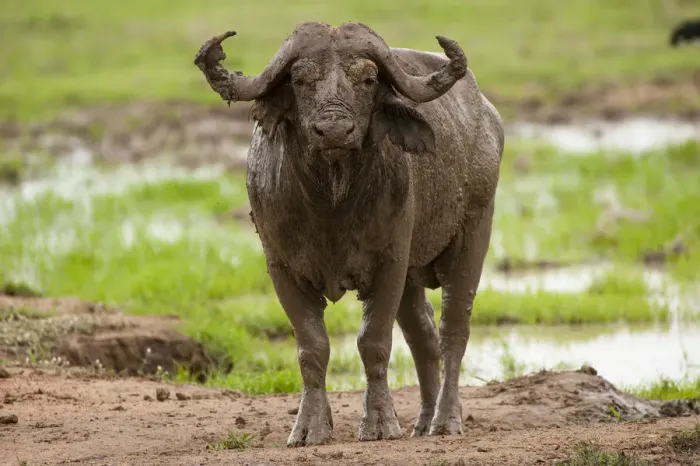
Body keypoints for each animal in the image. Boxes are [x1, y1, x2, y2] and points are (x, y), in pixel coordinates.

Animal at [194, 21, 504, 447]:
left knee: (453, 329)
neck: (330, 203)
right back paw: (423, 421)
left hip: (472, 233)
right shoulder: (282, 267)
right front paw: (309, 427)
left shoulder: (390, 262)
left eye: (369, 79)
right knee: (422, 334)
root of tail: (488, 117)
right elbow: (312, 347)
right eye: (299, 78)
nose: (335, 130)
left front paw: (379, 423)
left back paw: (445, 419)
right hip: (412, 275)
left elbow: (373, 342)